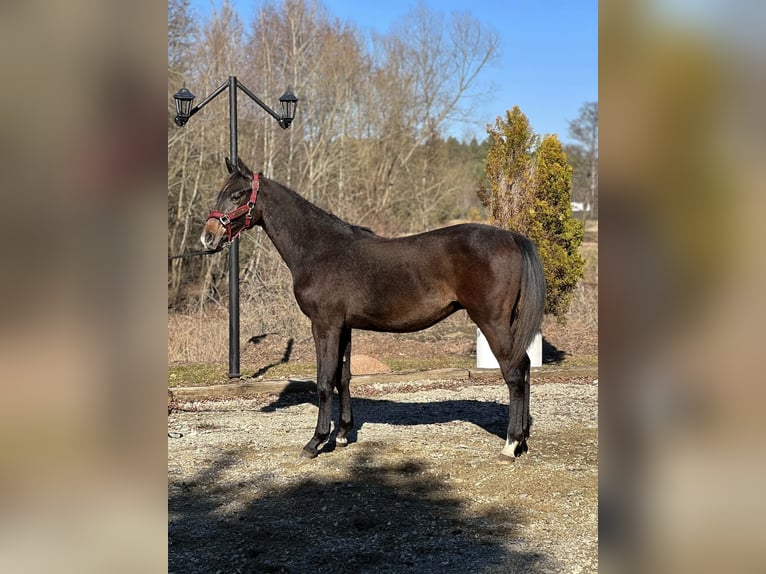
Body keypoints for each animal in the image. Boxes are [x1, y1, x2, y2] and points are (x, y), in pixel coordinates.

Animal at [201, 157, 546, 463]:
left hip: (492, 322)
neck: (320, 249)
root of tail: (512, 236)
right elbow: (343, 377)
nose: (208, 237)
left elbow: (324, 381)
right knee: (526, 367)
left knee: (514, 373)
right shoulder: (344, 327)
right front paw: (342, 434)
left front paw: (315, 441)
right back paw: (523, 441)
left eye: (237, 195)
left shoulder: (324, 325)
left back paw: (510, 445)